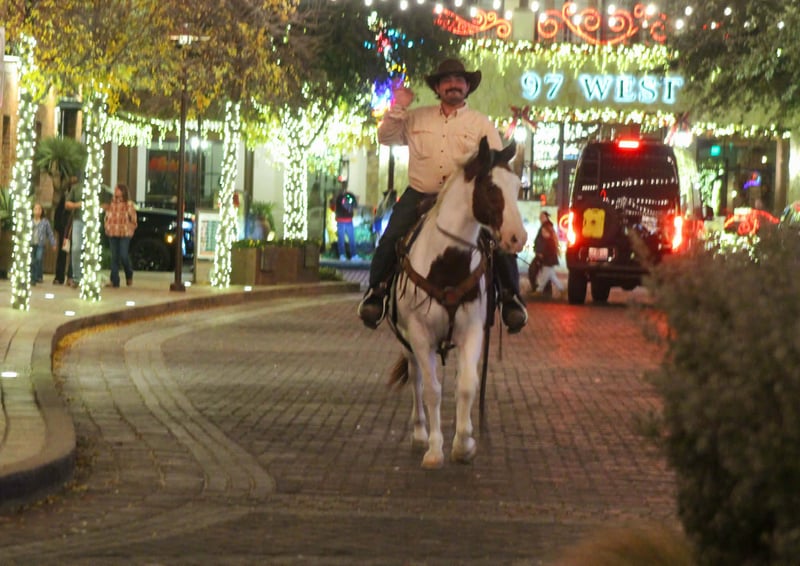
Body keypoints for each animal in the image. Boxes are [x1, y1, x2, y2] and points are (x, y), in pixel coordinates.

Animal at [387, 136, 527, 470]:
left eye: (517, 187)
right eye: (490, 188)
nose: (518, 238)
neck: (448, 264)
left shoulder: (473, 331)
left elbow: (466, 386)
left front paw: (464, 443)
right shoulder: (420, 335)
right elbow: (432, 391)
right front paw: (435, 449)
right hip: (405, 340)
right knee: (416, 378)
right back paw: (420, 433)